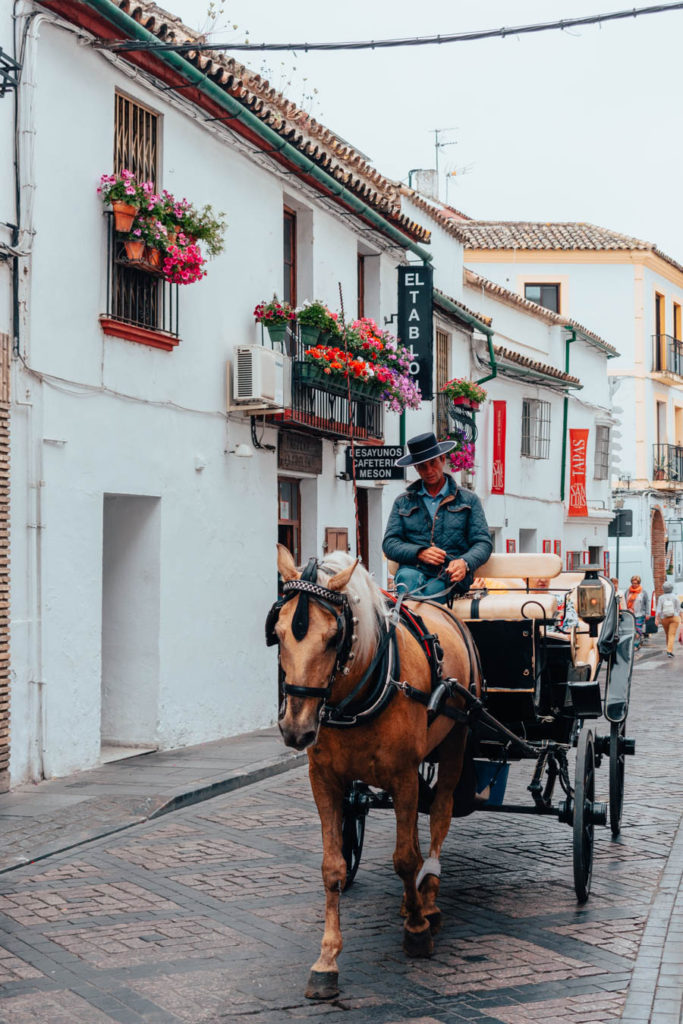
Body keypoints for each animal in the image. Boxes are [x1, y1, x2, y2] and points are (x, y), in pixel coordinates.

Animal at [270, 548, 483, 995]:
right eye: (277, 632)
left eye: (334, 637)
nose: (296, 729)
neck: (363, 690)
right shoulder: (324, 780)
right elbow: (333, 867)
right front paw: (327, 959)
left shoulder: (402, 775)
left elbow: (404, 858)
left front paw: (417, 930)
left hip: (456, 739)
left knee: (440, 815)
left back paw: (429, 897)